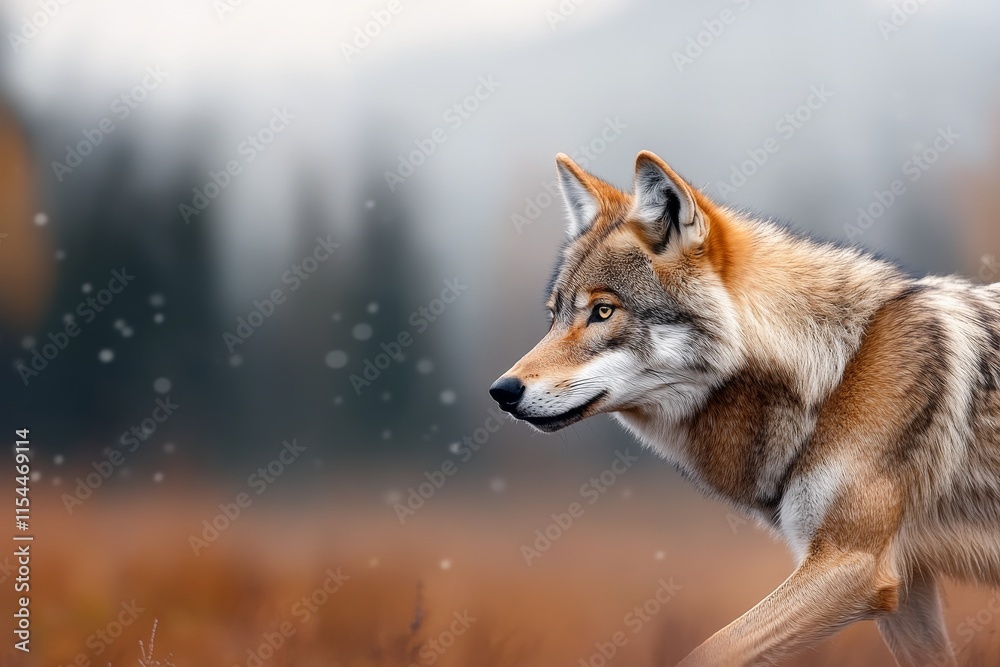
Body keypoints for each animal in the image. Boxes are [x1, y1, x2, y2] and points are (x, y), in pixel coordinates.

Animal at [489, 151, 1000, 666]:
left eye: (603, 311)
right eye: (554, 317)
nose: (501, 391)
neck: (836, 371)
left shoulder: (852, 567)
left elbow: (706, 652)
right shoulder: (906, 589)